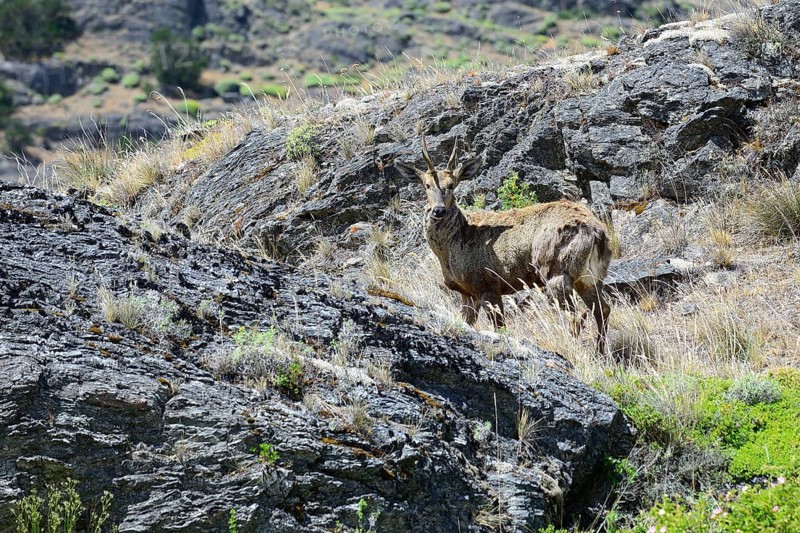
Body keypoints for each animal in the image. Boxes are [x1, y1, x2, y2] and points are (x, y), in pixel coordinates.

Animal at [395, 137, 612, 352]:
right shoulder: (467, 291)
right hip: (589, 277)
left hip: (557, 270)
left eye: (452, 185)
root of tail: (597, 233)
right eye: (426, 185)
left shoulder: (487, 283)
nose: (438, 210)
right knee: (603, 309)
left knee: (576, 315)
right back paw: (600, 353)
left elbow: (500, 327)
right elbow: (468, 323)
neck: (453, 245)